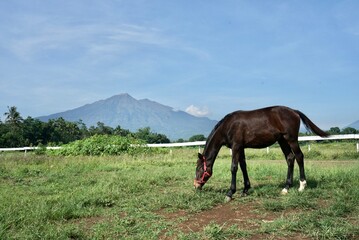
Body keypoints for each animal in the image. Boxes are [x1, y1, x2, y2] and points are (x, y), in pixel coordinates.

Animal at [194, 106, 330, 200]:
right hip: (282, 140)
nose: (196, 186)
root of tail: (294, 111)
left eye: (199, 169)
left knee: (299, 156)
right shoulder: (241, 147)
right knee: (290, 158)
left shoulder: (236, 146)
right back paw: (286, 187)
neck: (228, 126)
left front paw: (230, 193)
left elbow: (234, 167)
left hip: (291, 139)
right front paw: (245, 189)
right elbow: (243, 166)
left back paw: (302, 185)